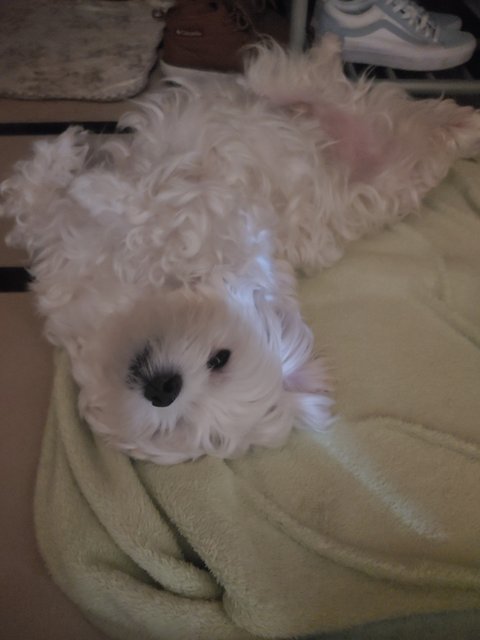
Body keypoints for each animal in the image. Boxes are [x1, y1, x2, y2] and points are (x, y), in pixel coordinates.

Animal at [2, 36, 479, 464]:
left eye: (218, 360)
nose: (164, 389)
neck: (128, 302)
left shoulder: (218, 216)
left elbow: (148, 213)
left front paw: (95, 186)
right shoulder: (62, 249)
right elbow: (34, 196)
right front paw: (67, 153)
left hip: (385, 187)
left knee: (427, 140)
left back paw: (461, 124)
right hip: (276, 85)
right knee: (312, 76)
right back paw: (338, 49)